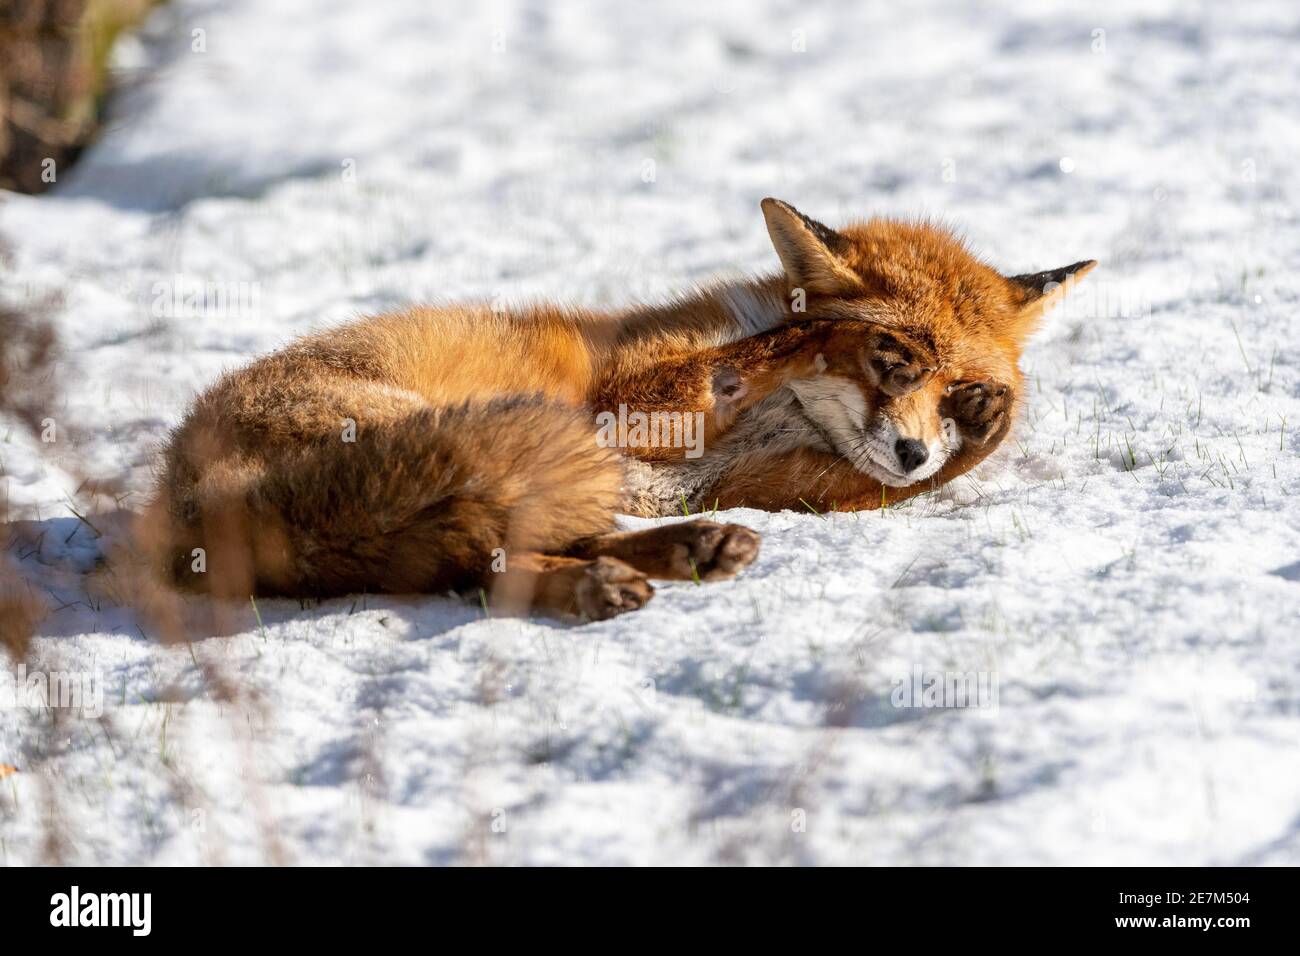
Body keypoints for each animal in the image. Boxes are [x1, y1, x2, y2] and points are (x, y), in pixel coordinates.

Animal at [144, 197, 1097, 624]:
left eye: (948, 388)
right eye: (893, 370)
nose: (914, 453)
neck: (781, 421)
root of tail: (179, 495)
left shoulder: (768, 481)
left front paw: (986, 420)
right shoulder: (625, 406)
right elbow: (771, 343)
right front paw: (836, 331)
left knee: (488, 553)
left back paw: (670, 557)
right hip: (515, 448)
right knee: (484, 555)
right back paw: (603, 580)